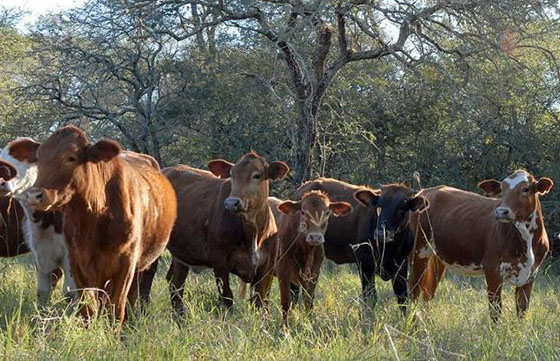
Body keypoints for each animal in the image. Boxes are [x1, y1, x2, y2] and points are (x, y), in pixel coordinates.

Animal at [23, 126, 176, 320]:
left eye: (71, 158)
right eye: (39, 158)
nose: (33, 195)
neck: (94, 218)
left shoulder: (126, 263)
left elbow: (116, 307)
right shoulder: (76, 261)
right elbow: (87, 308)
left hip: (146, 263)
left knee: (135, 295)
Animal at [159, 152, 286, 316]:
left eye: (257, 175)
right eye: (232, 175)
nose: (232, 203)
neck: (253, 234)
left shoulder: (267, 266)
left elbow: (260, 302)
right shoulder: (219, 262)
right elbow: (227, 298)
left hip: (181, 254)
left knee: (175, 283)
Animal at [274, 191, 352, 324]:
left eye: (327, 212)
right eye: (303, 212)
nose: (315, 237)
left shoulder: (314, 272)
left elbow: (308, 300)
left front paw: (310, 322)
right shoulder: (282, 270)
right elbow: (285, 302)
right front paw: (284, 327)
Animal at [410, 170, 552, 320]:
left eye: (526, 189)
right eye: (501, 189)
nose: (501, 211)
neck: (527, 242)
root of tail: (426, 191)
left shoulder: (531, 274)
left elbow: (522, 309)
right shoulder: (492, 269)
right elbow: (495, 310)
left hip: (438, 257)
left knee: (429, 292)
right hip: (418, 252)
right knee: (414, 290)